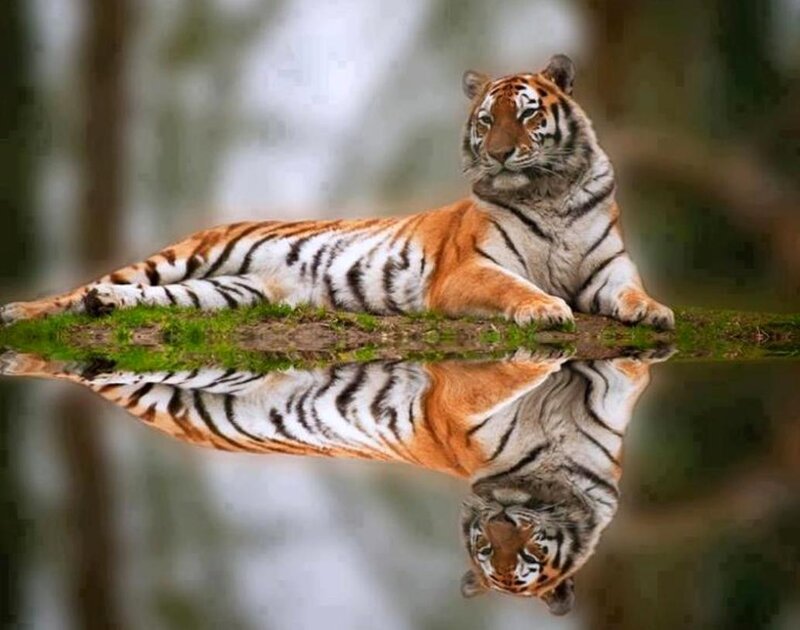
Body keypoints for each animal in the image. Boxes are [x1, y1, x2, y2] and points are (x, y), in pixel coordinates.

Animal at [0, 54, 673, 330]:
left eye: (528, 114)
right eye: (487, 120)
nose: (500, 152)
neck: (548, 193)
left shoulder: (608, 270)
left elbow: (633, 292)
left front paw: (656, 313)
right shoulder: (467, 271)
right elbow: (517, 287)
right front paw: (545, 308)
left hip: (224, 292)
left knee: (138, 297)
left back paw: (103, 307)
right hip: (183, 256)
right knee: (86, 288)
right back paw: (23, 311)